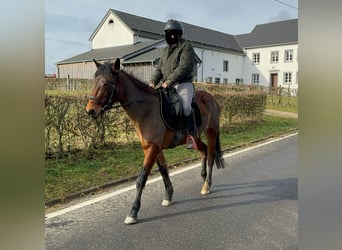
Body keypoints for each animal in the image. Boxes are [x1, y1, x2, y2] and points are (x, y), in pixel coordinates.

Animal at [86, 58, 224, 225]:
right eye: (94, 81)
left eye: (106, 84)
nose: (90, 111)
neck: (146, 109)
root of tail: (211, 97)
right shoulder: (153, 148)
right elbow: (164, 171)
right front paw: (168, 196)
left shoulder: (152, 148)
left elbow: (141, 179)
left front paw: (133, 212)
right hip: (196, 137)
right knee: (203, 150)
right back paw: (203, 179)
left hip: (211, 131)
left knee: (210, 156)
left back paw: (207, 185)